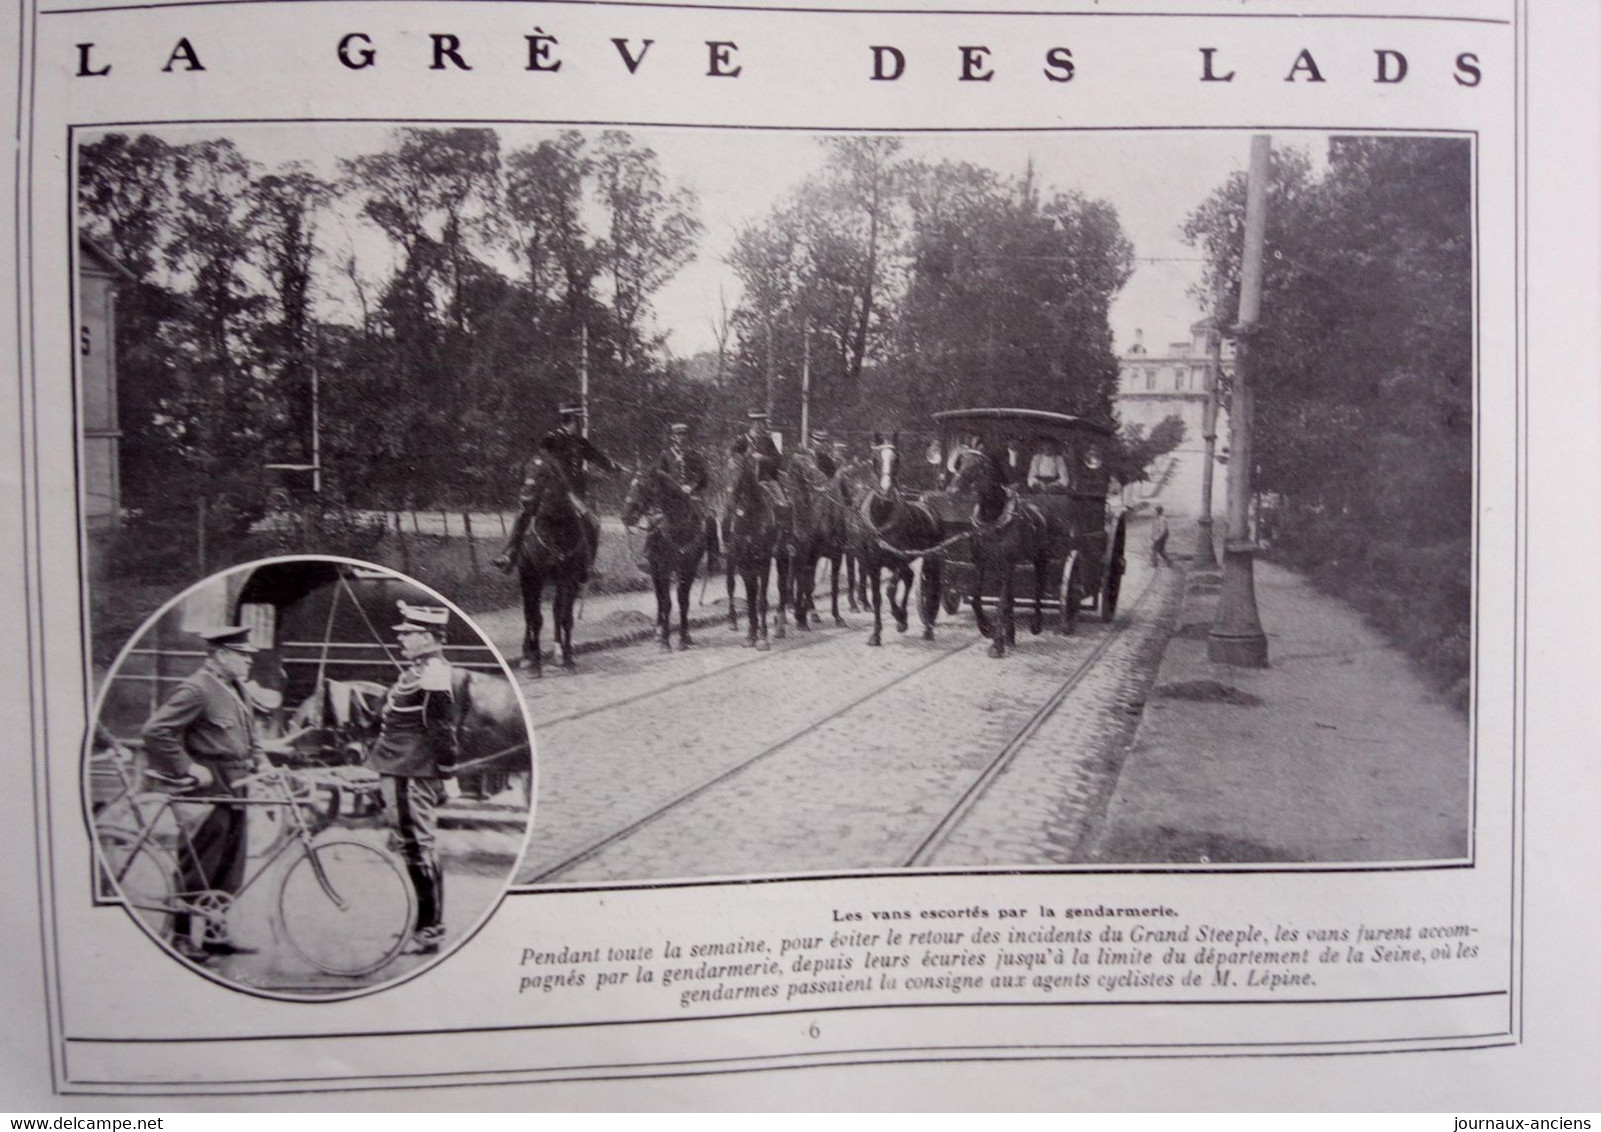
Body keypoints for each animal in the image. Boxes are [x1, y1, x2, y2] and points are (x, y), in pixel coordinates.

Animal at [499, 454, 595, 682]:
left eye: (544, 475)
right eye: (525, 471)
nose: (524, 499)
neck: (555, 528)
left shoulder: (569, 577)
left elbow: (565, 617)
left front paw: (568, 660)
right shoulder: (533, 576)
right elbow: (535, 619)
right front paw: (535, 664)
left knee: (556, 610)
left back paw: (558, 653)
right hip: (527, 579)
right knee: (529, 614)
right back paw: (527, 656)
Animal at [617, 464, 707, 656]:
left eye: (642, 486)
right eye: (630, 484)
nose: (626, 515)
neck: (679, 525)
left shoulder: (689, 568)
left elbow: (683, 601)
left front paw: (683, 638)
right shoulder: (664, 568)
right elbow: (666, 603)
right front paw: (665, 642)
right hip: (655, 569)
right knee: (659, 597)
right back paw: (659, 632)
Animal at [845, 435, 941, 646]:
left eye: (897, 458)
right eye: (875, 458)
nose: (886, 489)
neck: (882, 518)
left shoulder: (898, 559)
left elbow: (889, 590)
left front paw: (900, 618)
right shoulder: (873, 564)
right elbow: (877, 597)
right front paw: (876, 634)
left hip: (930, 559)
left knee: (926, 585)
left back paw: (926, 628)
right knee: (909, 577)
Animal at [947, 451, 1050, 659]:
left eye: (978, 468)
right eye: (960, 464)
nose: (952, 490)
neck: (992, 517)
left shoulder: (1008, 564)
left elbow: (1000, 604)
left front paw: (996, 645)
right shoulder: (980, 562)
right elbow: (976, 598)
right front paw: (986, 629)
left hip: (1039, 559)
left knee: (1038, 590)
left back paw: (1035, 625)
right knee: (1010, 597)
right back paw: (1009, 636)